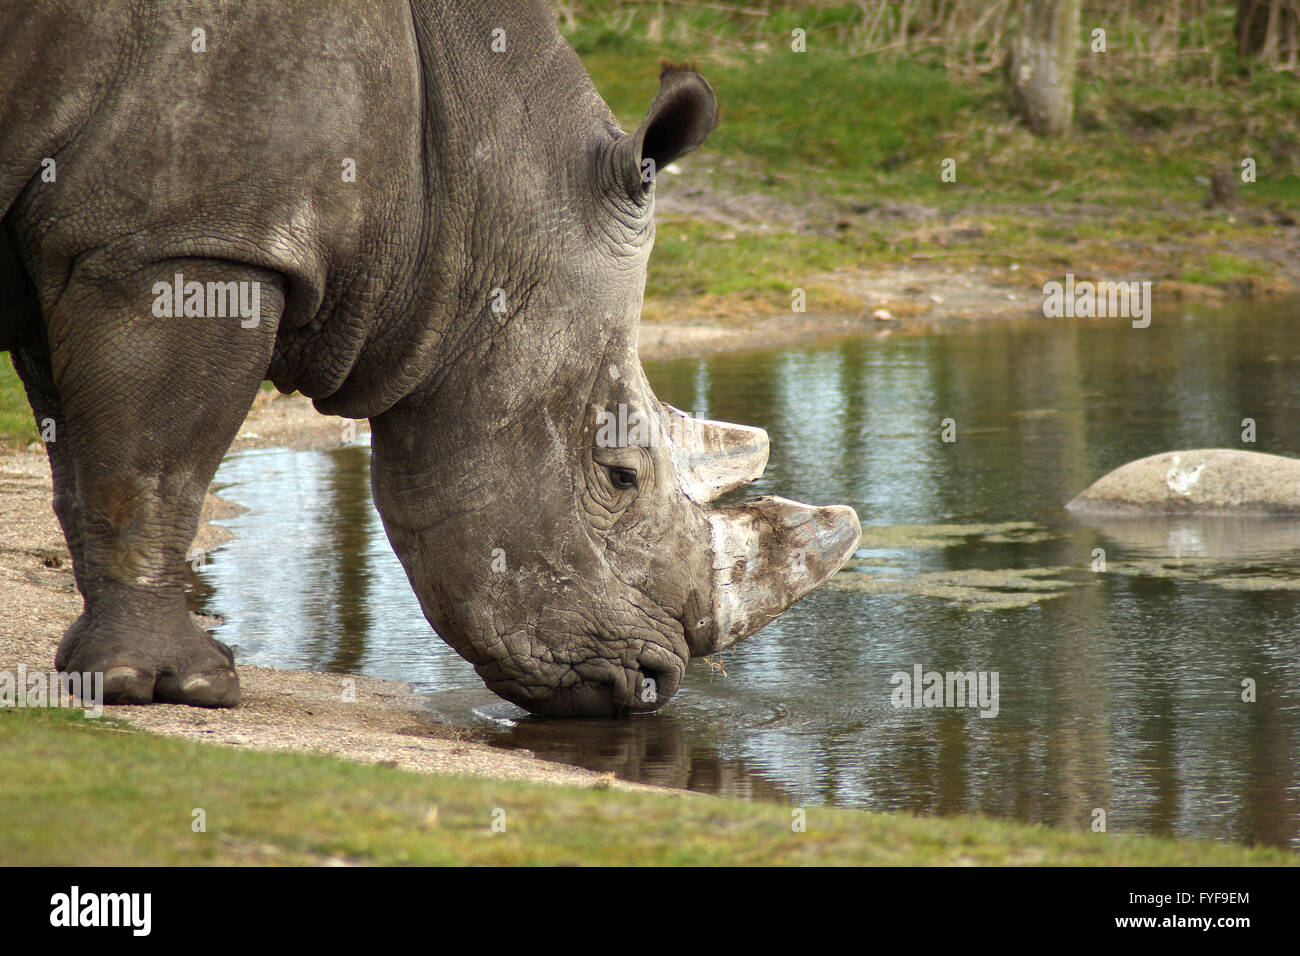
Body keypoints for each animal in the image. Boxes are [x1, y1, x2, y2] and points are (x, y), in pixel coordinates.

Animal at [2, 0, 863, 717]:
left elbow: (83, 462)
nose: (655, 684)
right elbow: (154, 460)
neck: (462, 189)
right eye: (619, 476)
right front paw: (177, 686)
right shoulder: (188, 242)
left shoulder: (91, 247)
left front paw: (99, 672)